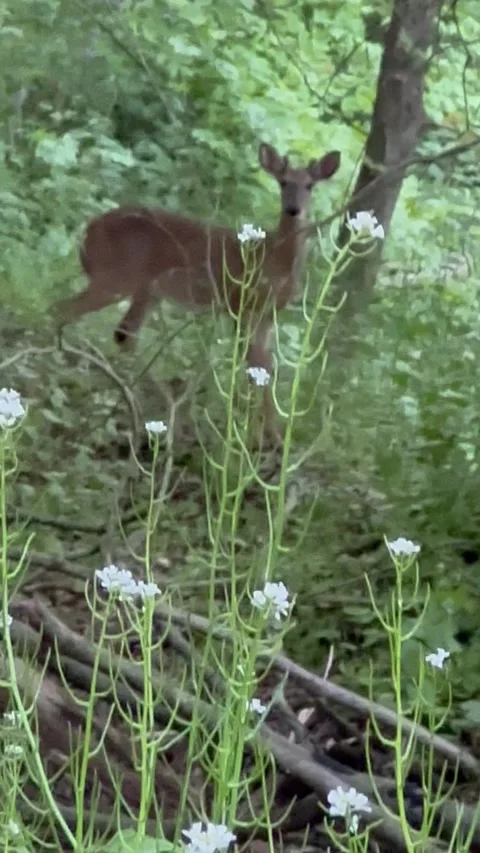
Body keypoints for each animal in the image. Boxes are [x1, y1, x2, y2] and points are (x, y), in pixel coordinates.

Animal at [55, 143, 341, 445]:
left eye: (310, 185)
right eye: (283, 182)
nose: (293, 209)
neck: (274, 260)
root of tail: (88, 231)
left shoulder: (267, 315)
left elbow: (266, 368)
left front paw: (273, 436)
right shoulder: (238, 303)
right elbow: (252, 366)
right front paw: (251, 435)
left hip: (146, 289)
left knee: (123, 333)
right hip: (116, 276)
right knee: (61, 310)